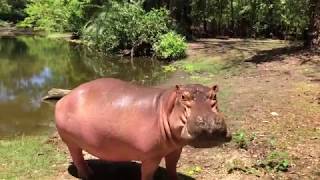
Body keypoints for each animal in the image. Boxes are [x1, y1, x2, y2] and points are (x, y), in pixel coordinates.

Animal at [54, 78, 230, 180]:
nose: (209, 123)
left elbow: (172, 166)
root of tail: (66, 96)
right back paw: (88, 175)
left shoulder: (176, 148)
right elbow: (147, 174)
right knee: (77, 157)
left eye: (214, 96)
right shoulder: (150, 156)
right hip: (70, 141)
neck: (165, 107)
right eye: (183, 97)